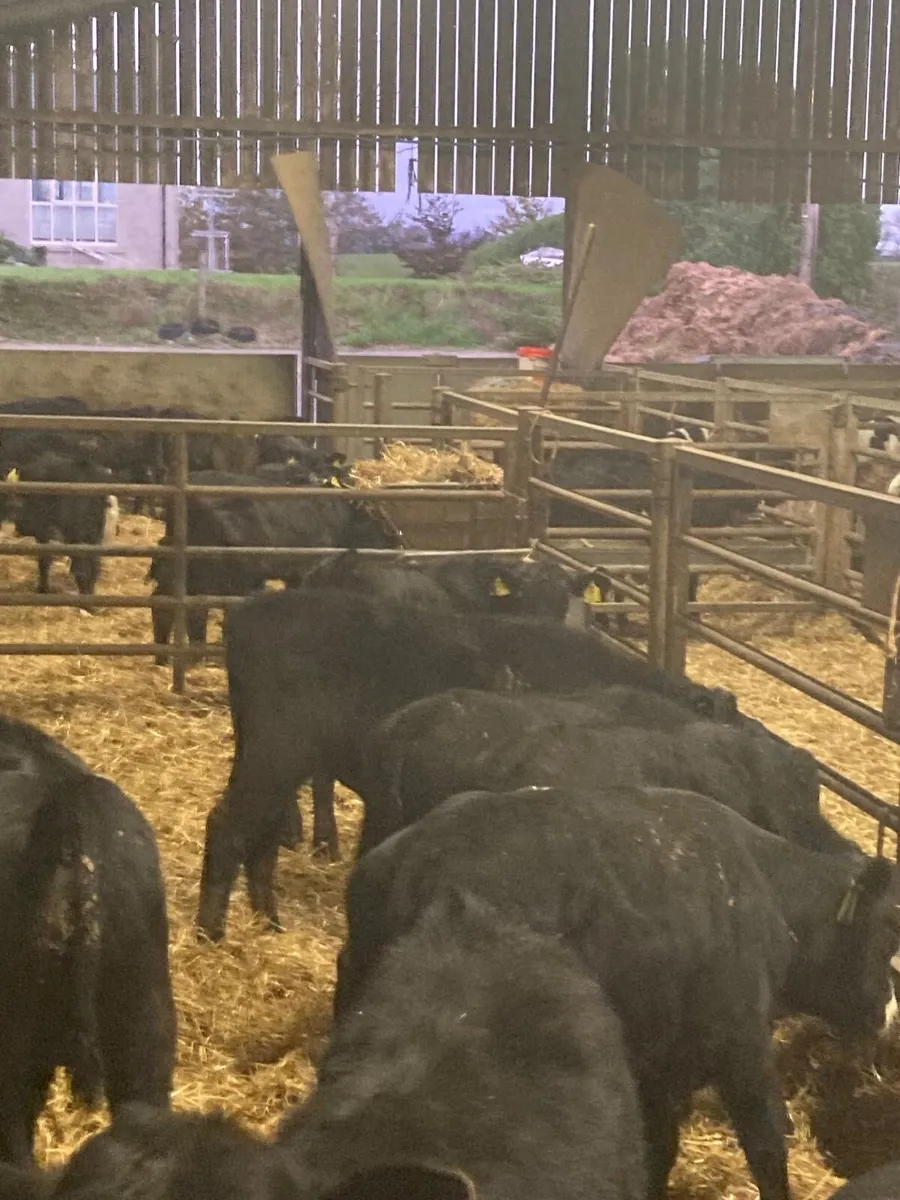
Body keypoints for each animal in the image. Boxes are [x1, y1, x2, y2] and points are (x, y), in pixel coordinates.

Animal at [149, 478, 401, 660]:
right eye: (378, 517)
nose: (398, 540)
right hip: (208, 573)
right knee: (195, 611)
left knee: (163, 603)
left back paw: (162, 656)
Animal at [195, 589, 739, 941]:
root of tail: (250, 613)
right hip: (274, 755)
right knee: (228, 826)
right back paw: (211, 933)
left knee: (261, 837)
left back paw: (269, 923)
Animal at [333, 784, 900, 1200]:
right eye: (888, 932)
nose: (889, 1015)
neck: (766, 893)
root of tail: (410, 860)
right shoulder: (741, 1047)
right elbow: (766, 1146)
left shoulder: (659, 1069)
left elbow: (658, 1151)